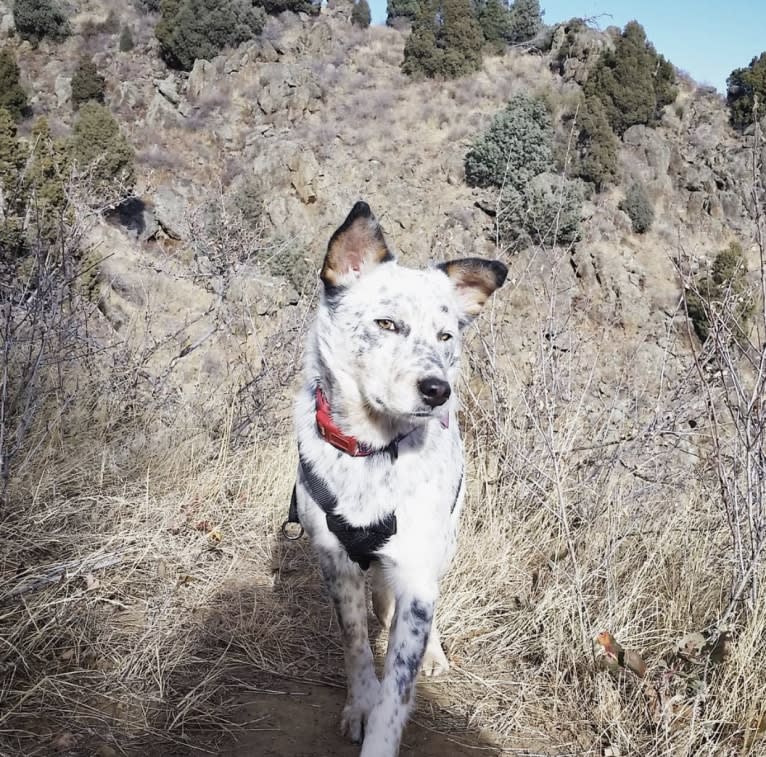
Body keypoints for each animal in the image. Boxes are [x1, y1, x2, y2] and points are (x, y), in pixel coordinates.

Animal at [292, 202, 508, 756]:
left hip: (444, 540)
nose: (437, 390)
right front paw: (359, 705)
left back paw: (432, 651)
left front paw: (381, 731)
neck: (373, 451)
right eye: (387, 323)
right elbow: (357, 647)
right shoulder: (335, 562)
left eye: (446, 336)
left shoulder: (416, 570)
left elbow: (398, 685)